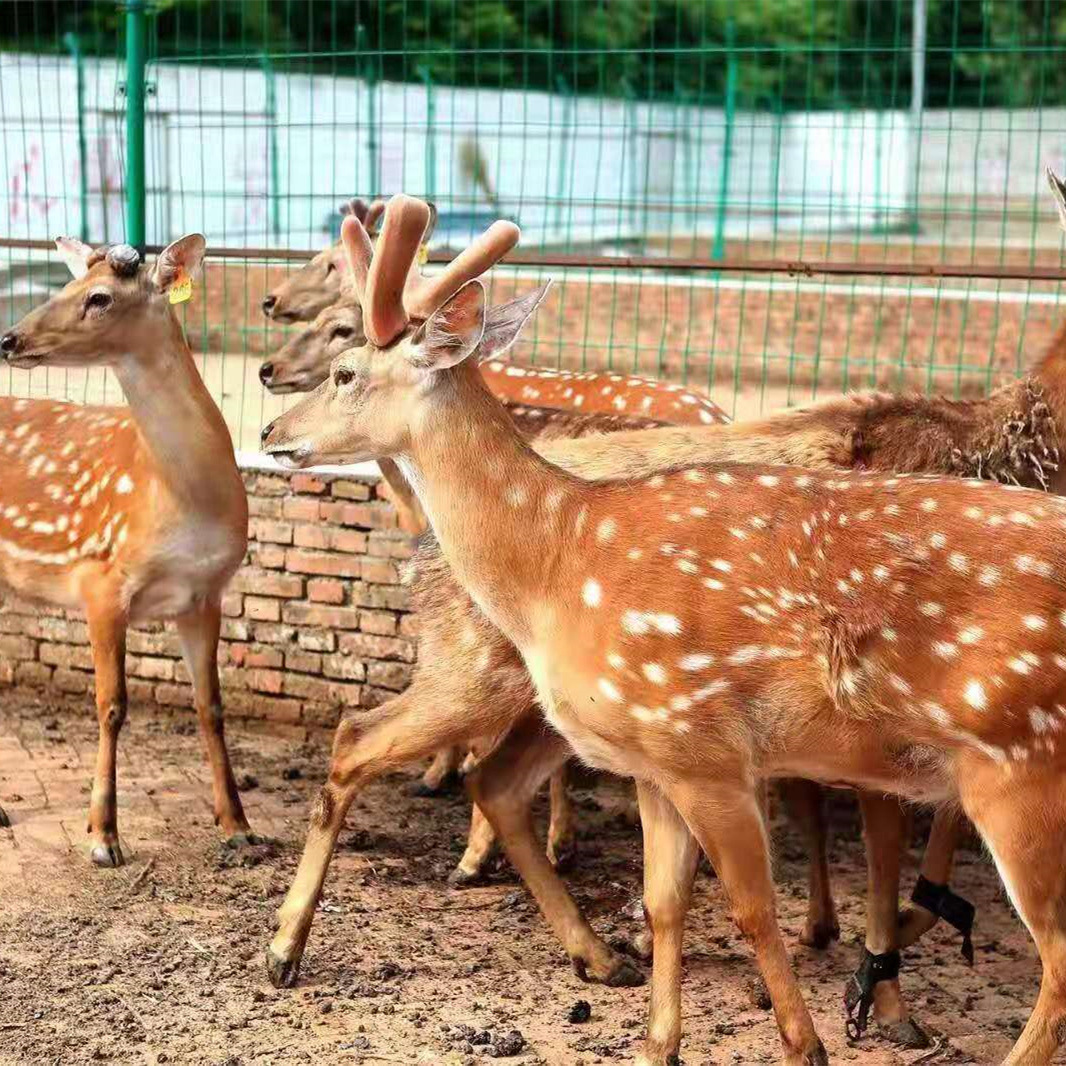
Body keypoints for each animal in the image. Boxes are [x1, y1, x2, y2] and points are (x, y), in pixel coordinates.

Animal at [0, 235, 255, 865]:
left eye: (98, 297)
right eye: (67, 284)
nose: (8, 338)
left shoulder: (205, 594)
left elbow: (211, 708)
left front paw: (238, 827)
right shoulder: (101, 579)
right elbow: (111, 706)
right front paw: (103, 837)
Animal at [268, 191, 1066, 1066]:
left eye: (346, 367)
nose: (272, 431)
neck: (559, 558)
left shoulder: (702, 746)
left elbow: (753, 910)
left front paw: (807, 1045)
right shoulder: (652, 756)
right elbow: (664, 902)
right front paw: (660, 1042)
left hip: (1020, 768)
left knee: (1057, 962)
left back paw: (289, 946)